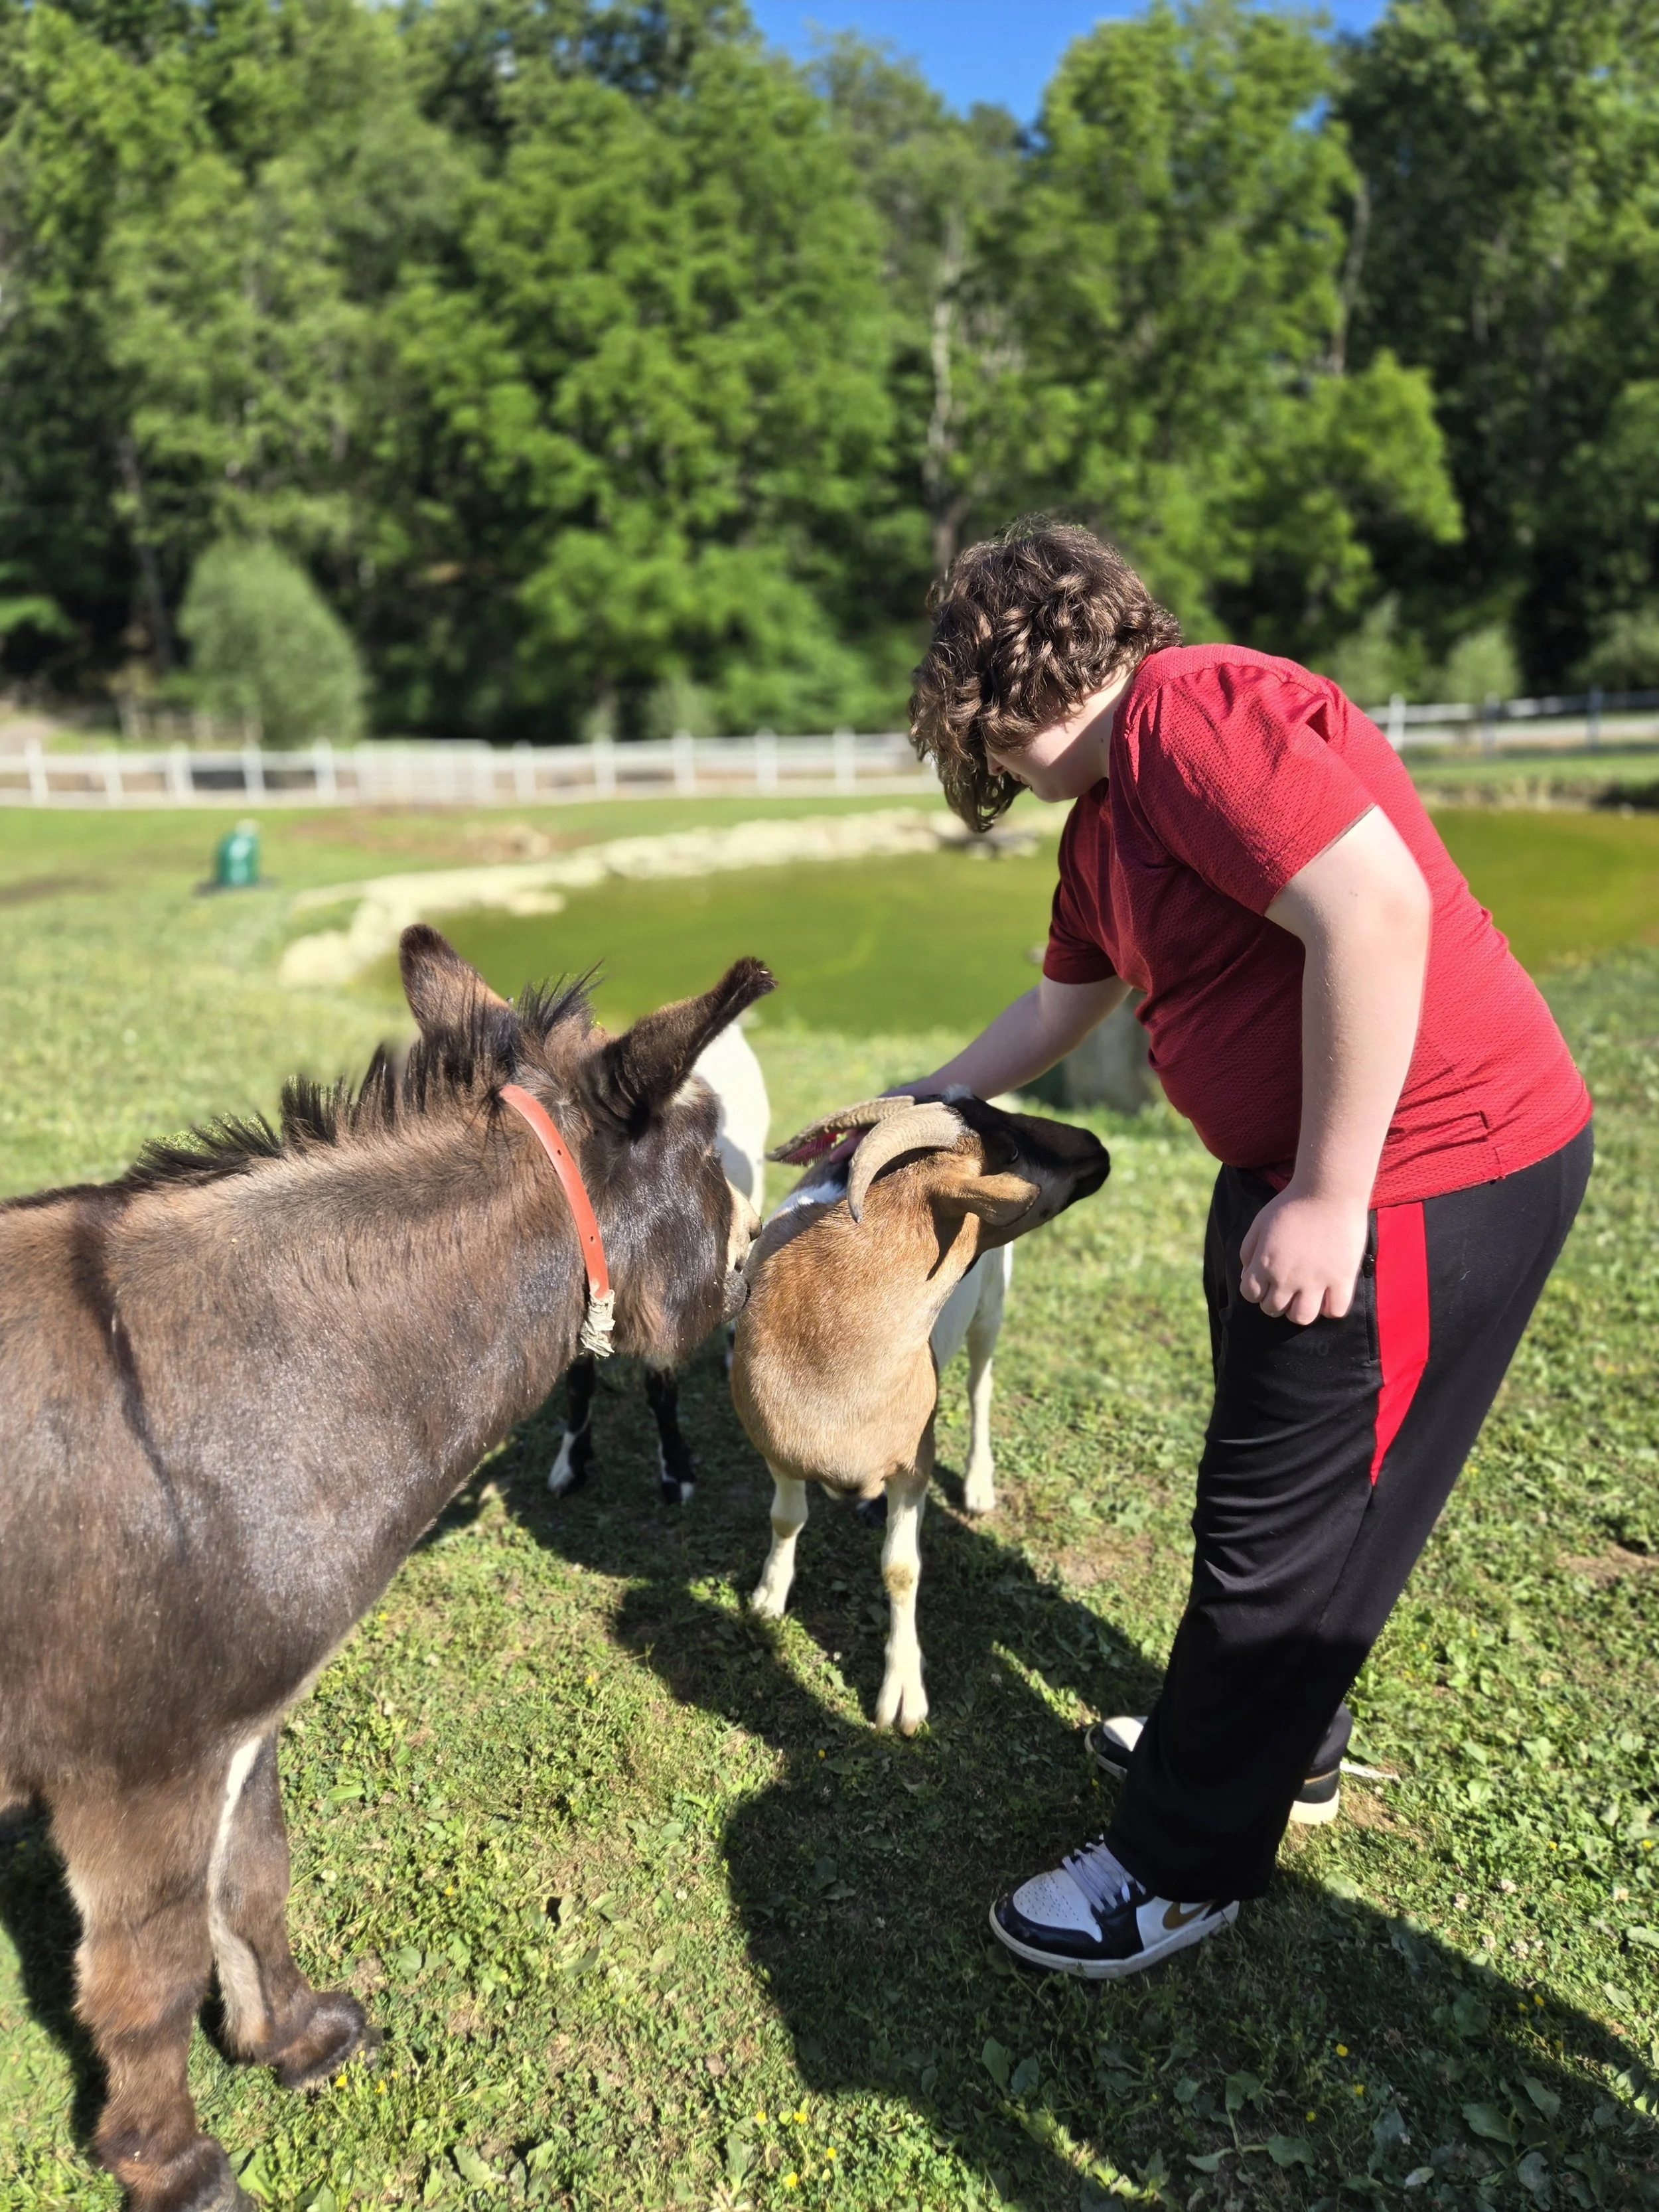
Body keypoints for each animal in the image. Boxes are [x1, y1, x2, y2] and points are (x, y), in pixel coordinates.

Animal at [731, 1094, 1108, 1734]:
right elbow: (785, 1518)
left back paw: (978, 1486)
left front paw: (902, 1697)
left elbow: (900, 1568)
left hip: (991, 1311)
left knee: (982, 1388)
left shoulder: (914, 1464)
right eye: (1009, 1148)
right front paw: (767, 1598)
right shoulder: (776, 1450)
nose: (1097, 1146)